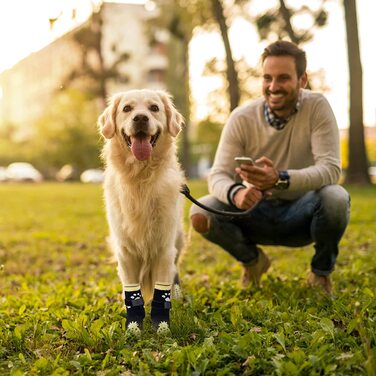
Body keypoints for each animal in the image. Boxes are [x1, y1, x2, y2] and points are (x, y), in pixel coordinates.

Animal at [97, 89, 184, 334]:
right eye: (127, 109)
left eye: (154, 108)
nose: (141, 118)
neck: (140, 179)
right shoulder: (125, 251)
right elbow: (132, 292)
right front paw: (134, 326)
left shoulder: (164, 247)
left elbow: (161, 292)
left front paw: (161, 327)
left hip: (178, 240)